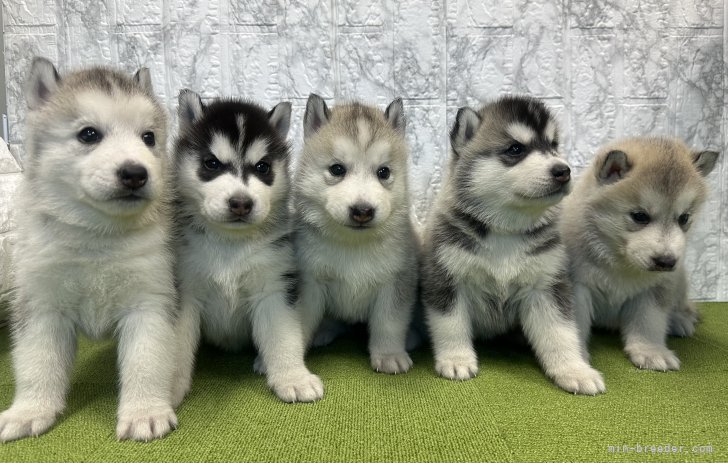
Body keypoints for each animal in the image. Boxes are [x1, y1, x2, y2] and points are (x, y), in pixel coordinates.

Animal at [0, 58, 180, 442]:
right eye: (88, 134)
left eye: (148, 138)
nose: (135, 173)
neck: (98, 237)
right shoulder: (42, 307)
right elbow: (37, 364)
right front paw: (29, 411)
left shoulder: (150, 302)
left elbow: (146, 362)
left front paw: (145, 411)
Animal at [172, 89, 322, 402]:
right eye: (212, 163)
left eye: (262, 167)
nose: (241, 202)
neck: (229, 243)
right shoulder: (184, 292)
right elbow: (175, 347)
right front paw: (164, 392)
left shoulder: (273, 287)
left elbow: (283, 337)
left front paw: (293, 377)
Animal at [292, 93, 418, 374]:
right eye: (337, 169)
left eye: (384, 172)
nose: (363, 211)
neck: (354, 243)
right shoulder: (310, 282)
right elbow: (300, 322)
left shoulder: (396, 281)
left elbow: (389, 323)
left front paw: (389, 355)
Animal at [560, 136, 720, 372]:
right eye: (639, 216)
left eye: (684, 218)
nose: (666, 261)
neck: (620, 262)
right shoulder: (578, 285)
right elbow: (576, 323)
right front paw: (577, 355)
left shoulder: (654, 291)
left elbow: (649, 322)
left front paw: (650, 351)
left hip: (680, 280)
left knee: (682, 305)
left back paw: (680, 319)